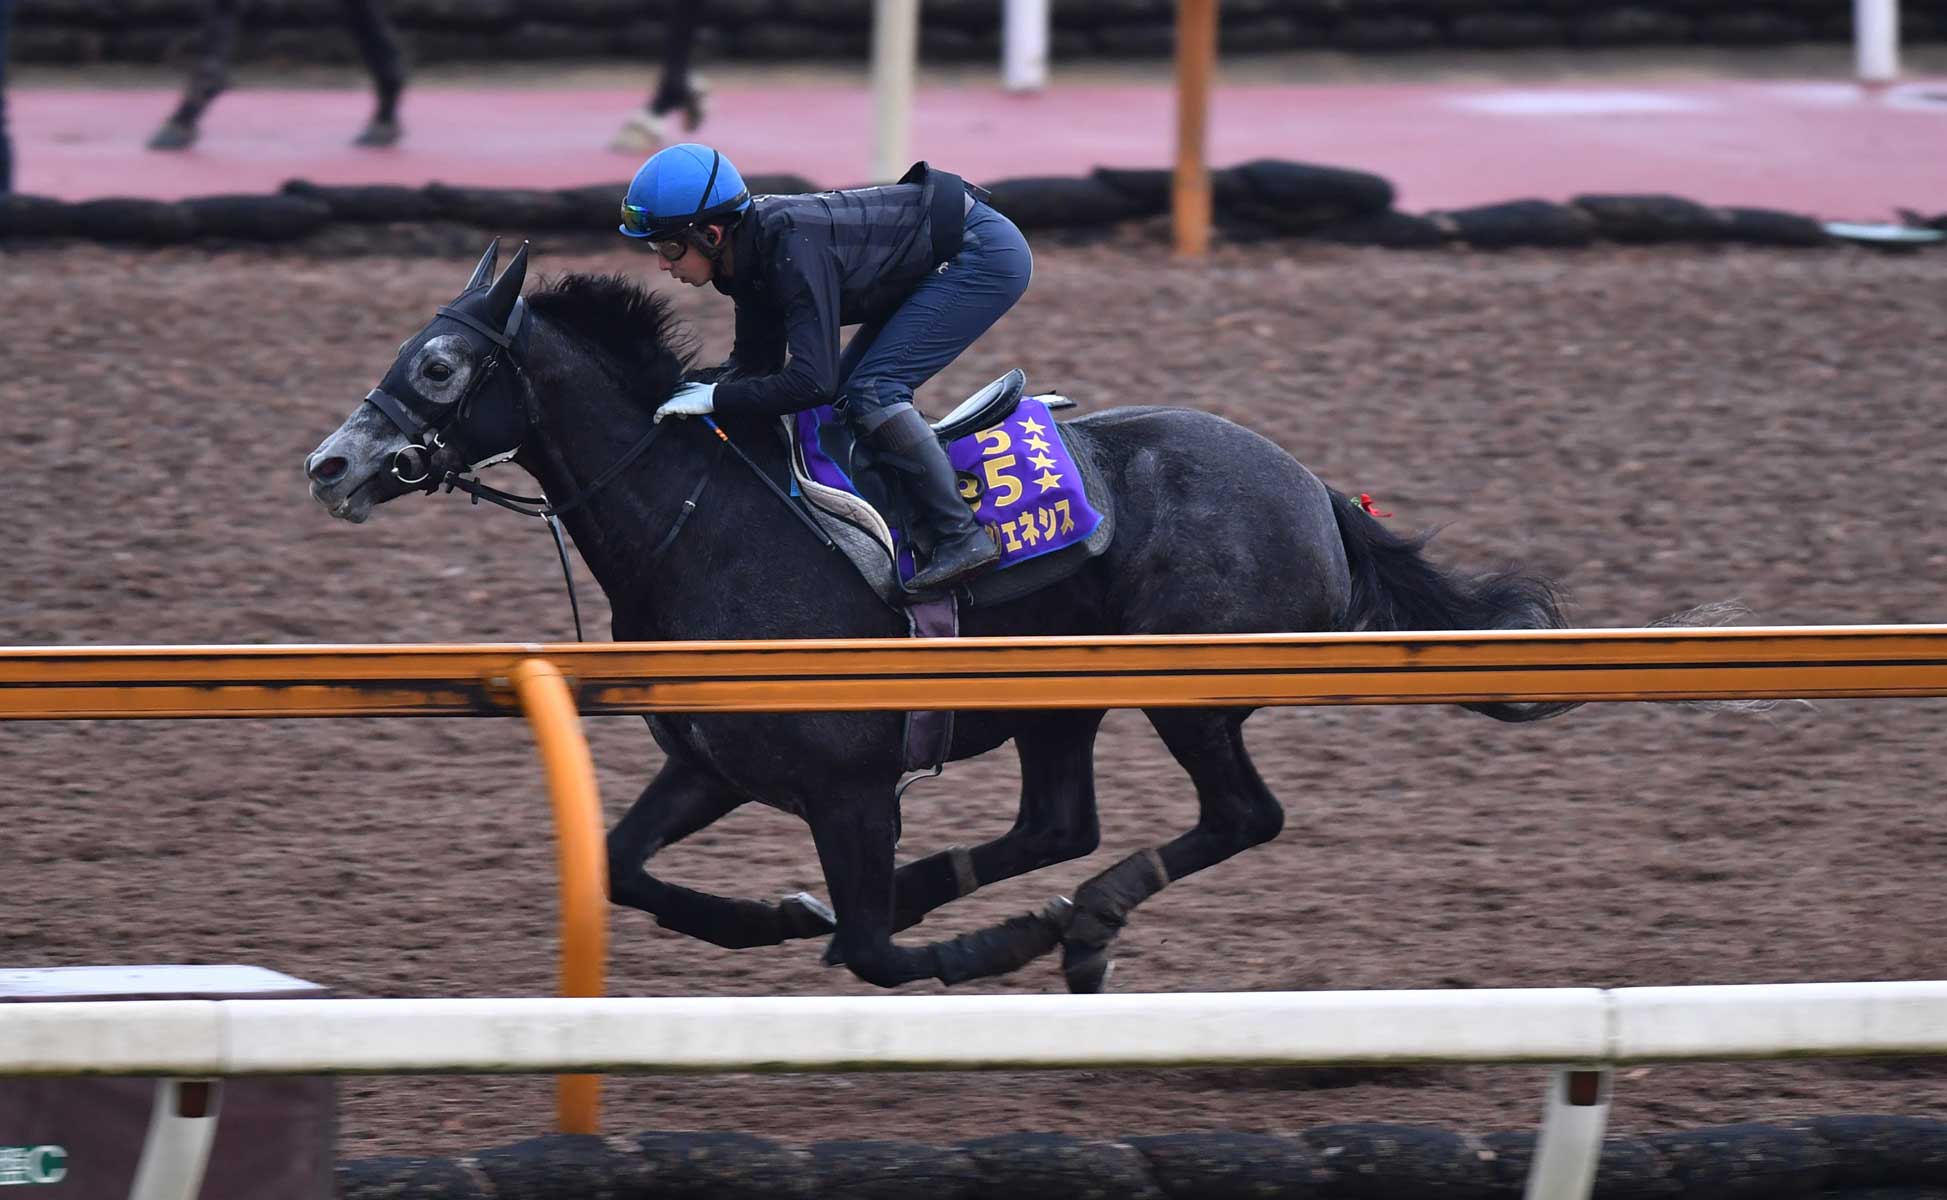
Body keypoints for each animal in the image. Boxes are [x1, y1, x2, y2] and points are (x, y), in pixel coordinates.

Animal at [301, 242, 1663, 993]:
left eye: (438, 365)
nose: (329, 464)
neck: (706, 534)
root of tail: (1316, 491)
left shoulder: (851, 786)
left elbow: (869, 951)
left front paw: (976, 947)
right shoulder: (718, 764)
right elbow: (627, 870)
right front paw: (769, 916)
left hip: (1187, 687)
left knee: (1237, 817)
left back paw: (1076, 928)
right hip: (1060, 697)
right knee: (1061, 823)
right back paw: (1001, 906)